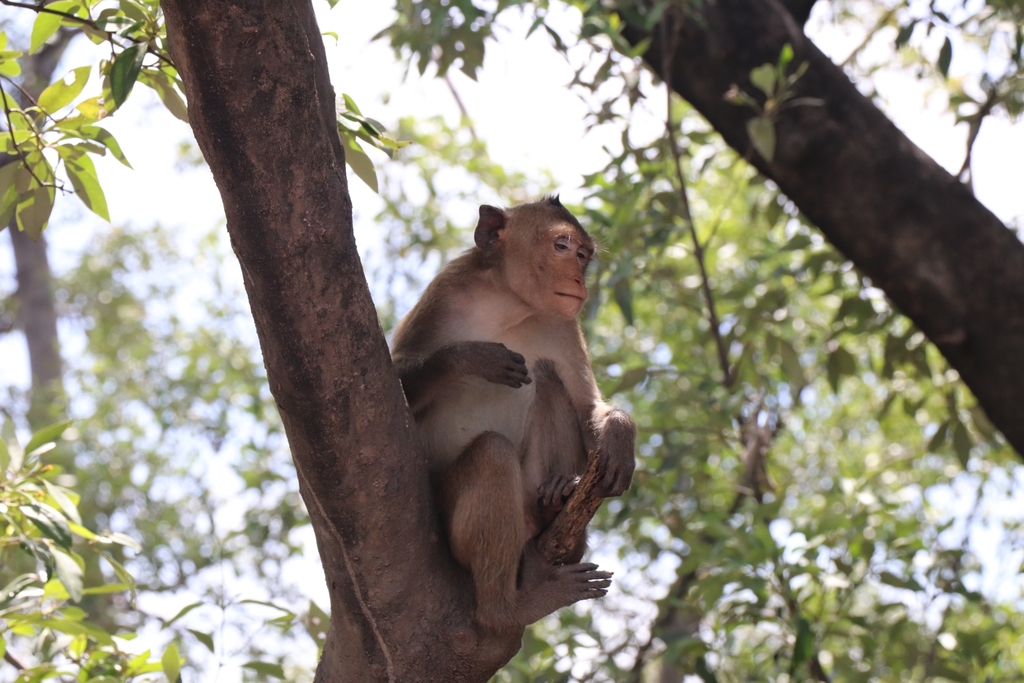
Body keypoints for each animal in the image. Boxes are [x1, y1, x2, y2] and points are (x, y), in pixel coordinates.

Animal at [391, 196, 637, 632]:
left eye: (584, 254)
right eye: (561, 246)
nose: (579, 280)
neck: (509, 304)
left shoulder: (563, 323)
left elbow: (586, 406)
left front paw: (620, 435)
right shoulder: (444, 292)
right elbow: (396, 374)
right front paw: (473, 358)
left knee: (549, 378)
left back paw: (556, 500)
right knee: (492, 453)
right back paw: (506, 610)